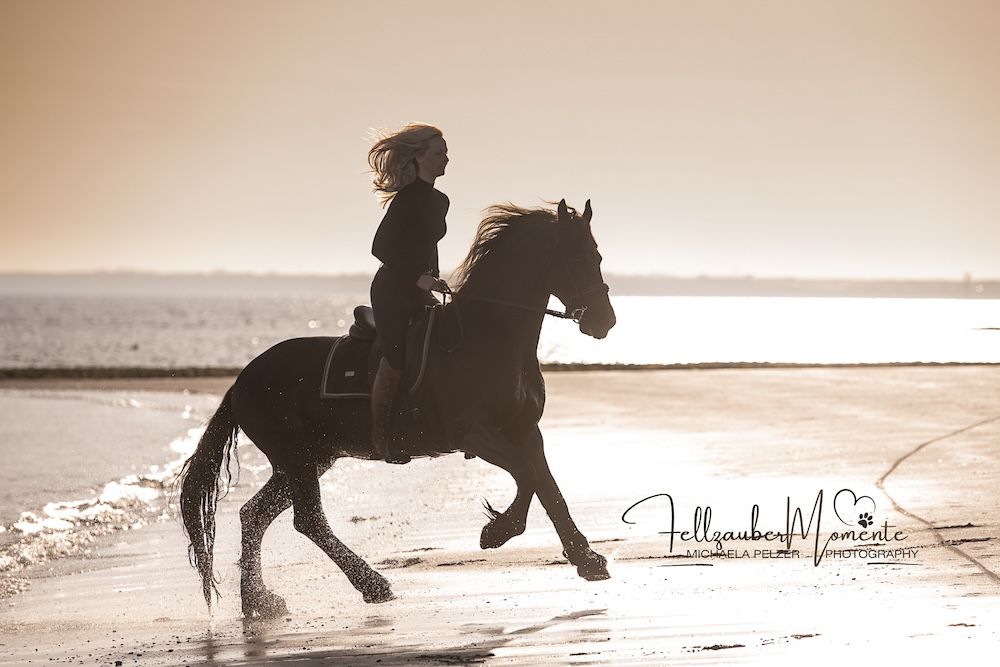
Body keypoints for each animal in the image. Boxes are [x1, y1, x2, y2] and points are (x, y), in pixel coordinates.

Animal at [178, 199, 617, 617]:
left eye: (597, 255)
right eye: (577, 258)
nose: (605, 321)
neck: (487, 337)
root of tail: (241, 381)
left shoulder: (524, 432)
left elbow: (548, 488)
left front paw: (586, 558)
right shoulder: (476, 434)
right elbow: (528, 477)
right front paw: (498, 532)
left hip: (308, 459)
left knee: (254, 515)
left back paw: (259, 600)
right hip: (298, 458)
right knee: (307, 521)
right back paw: (372, 584)